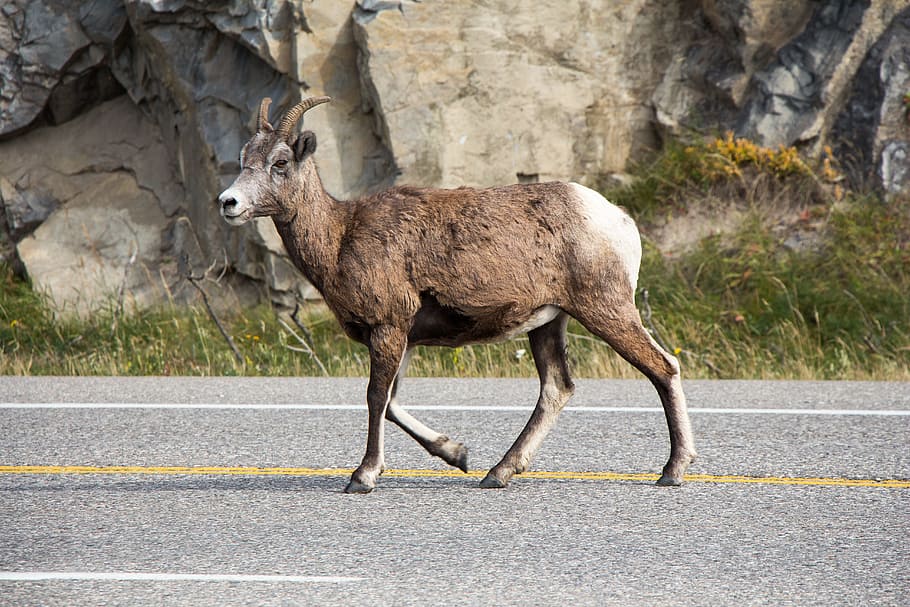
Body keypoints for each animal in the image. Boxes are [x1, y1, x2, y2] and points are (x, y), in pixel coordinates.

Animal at [217, 96, 696, 493]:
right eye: (244, 159)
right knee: (556, 388)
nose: (228, 202)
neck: (339, 238)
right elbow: (391, 403)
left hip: (605, 310)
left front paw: (363, 477)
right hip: (548, 322)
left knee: (662, 367)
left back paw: (672, 471)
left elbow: (375, 398)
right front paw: (458, 454)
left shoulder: (388, 327)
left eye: (280, 162)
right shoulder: (404, 336)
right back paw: (497, 473)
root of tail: (618, 219)